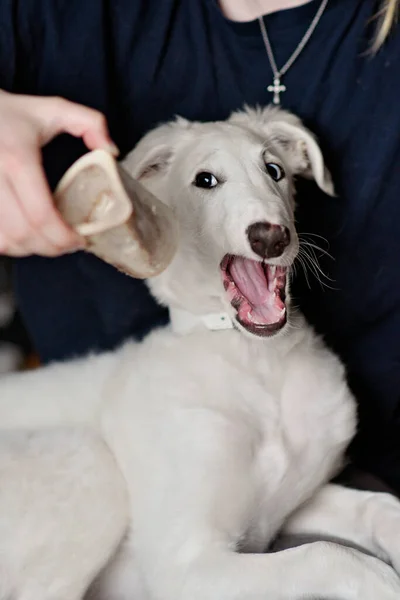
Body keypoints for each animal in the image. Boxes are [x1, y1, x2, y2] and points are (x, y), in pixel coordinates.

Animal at [0, 108, 400, 600]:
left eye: (274, 170)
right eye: (205, 180)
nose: (271, 237)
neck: (256, 362)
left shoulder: (287, 506)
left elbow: (381, 507)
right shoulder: (185, 565)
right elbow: (327, 554)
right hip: (92, 466)